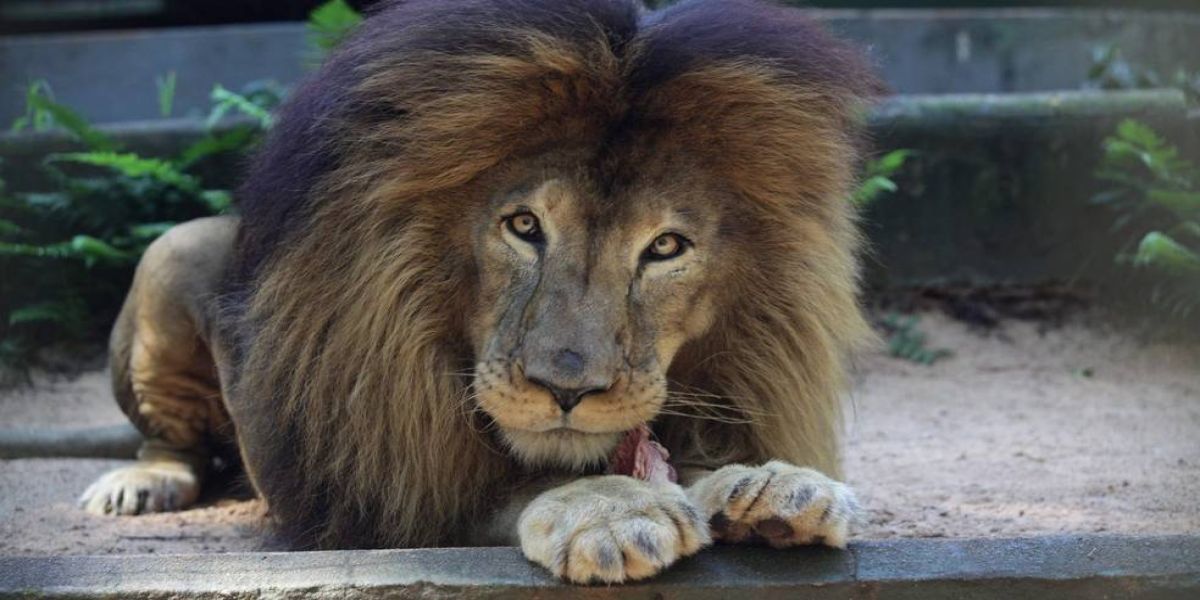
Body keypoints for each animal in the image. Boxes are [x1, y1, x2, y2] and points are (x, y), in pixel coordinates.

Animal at [79, 0, 879, 583]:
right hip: (173, 250)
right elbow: (510, 493)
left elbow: (694, 462)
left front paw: (770, 486)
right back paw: (143, 483)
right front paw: (608, 510)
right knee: (170, 439)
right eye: (523, 225)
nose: (566, 390)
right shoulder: (375, 504)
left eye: (664, 247)